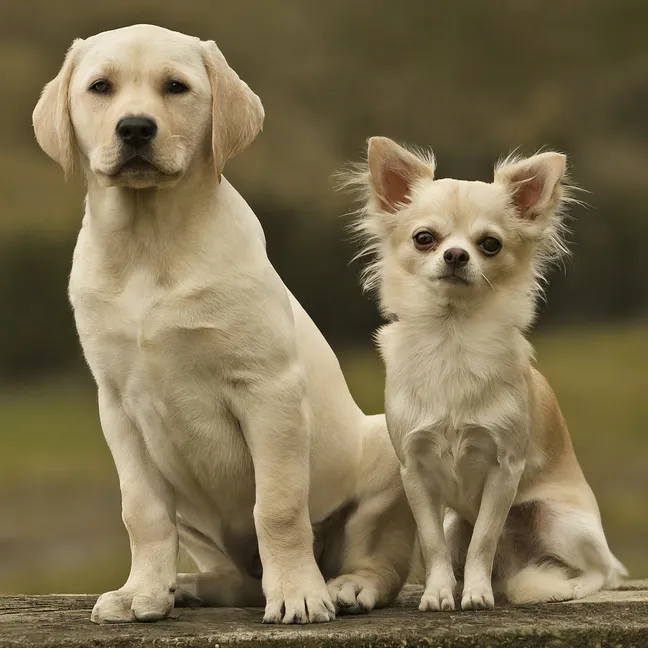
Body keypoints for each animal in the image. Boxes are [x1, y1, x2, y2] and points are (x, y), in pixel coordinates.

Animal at [31, 27, 416, 624]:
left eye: (176, 87)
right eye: (100, 87)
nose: (135, 127)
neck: (148, 242)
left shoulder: (268, 391)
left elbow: (277, 507)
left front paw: (298, 595)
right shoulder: (117, 406)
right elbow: (141, 512)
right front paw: (141, 592)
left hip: (386, 450)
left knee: (381, 561)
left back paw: (347, 586)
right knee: (236, 580)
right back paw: (185, 585)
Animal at [344, 135, 628, 612]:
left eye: (490, 244)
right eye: (424, 239)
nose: (456, 254)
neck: (453, 337)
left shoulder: (504, 470)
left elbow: (485, 539)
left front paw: (476, 595)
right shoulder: (415, 471)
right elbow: (433, 544)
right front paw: (440, 593)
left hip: (556, 518)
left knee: (604, 571)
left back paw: (559, 586)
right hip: (457, 520)